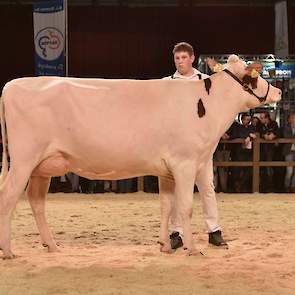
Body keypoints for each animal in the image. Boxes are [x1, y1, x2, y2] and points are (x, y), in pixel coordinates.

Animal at [0, 55, 282, 260]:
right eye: (255, 76)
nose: (278, 92)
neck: (207, 105)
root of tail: (12, 85)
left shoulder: (168, 169)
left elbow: (167, 206)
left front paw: (166, 245)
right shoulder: (185, 163)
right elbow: (186, 207)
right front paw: (192, 249)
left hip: (42, 166)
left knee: (36, 201)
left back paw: (52, 245)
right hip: (23, 160)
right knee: (8, 197)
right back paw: (8, 251)